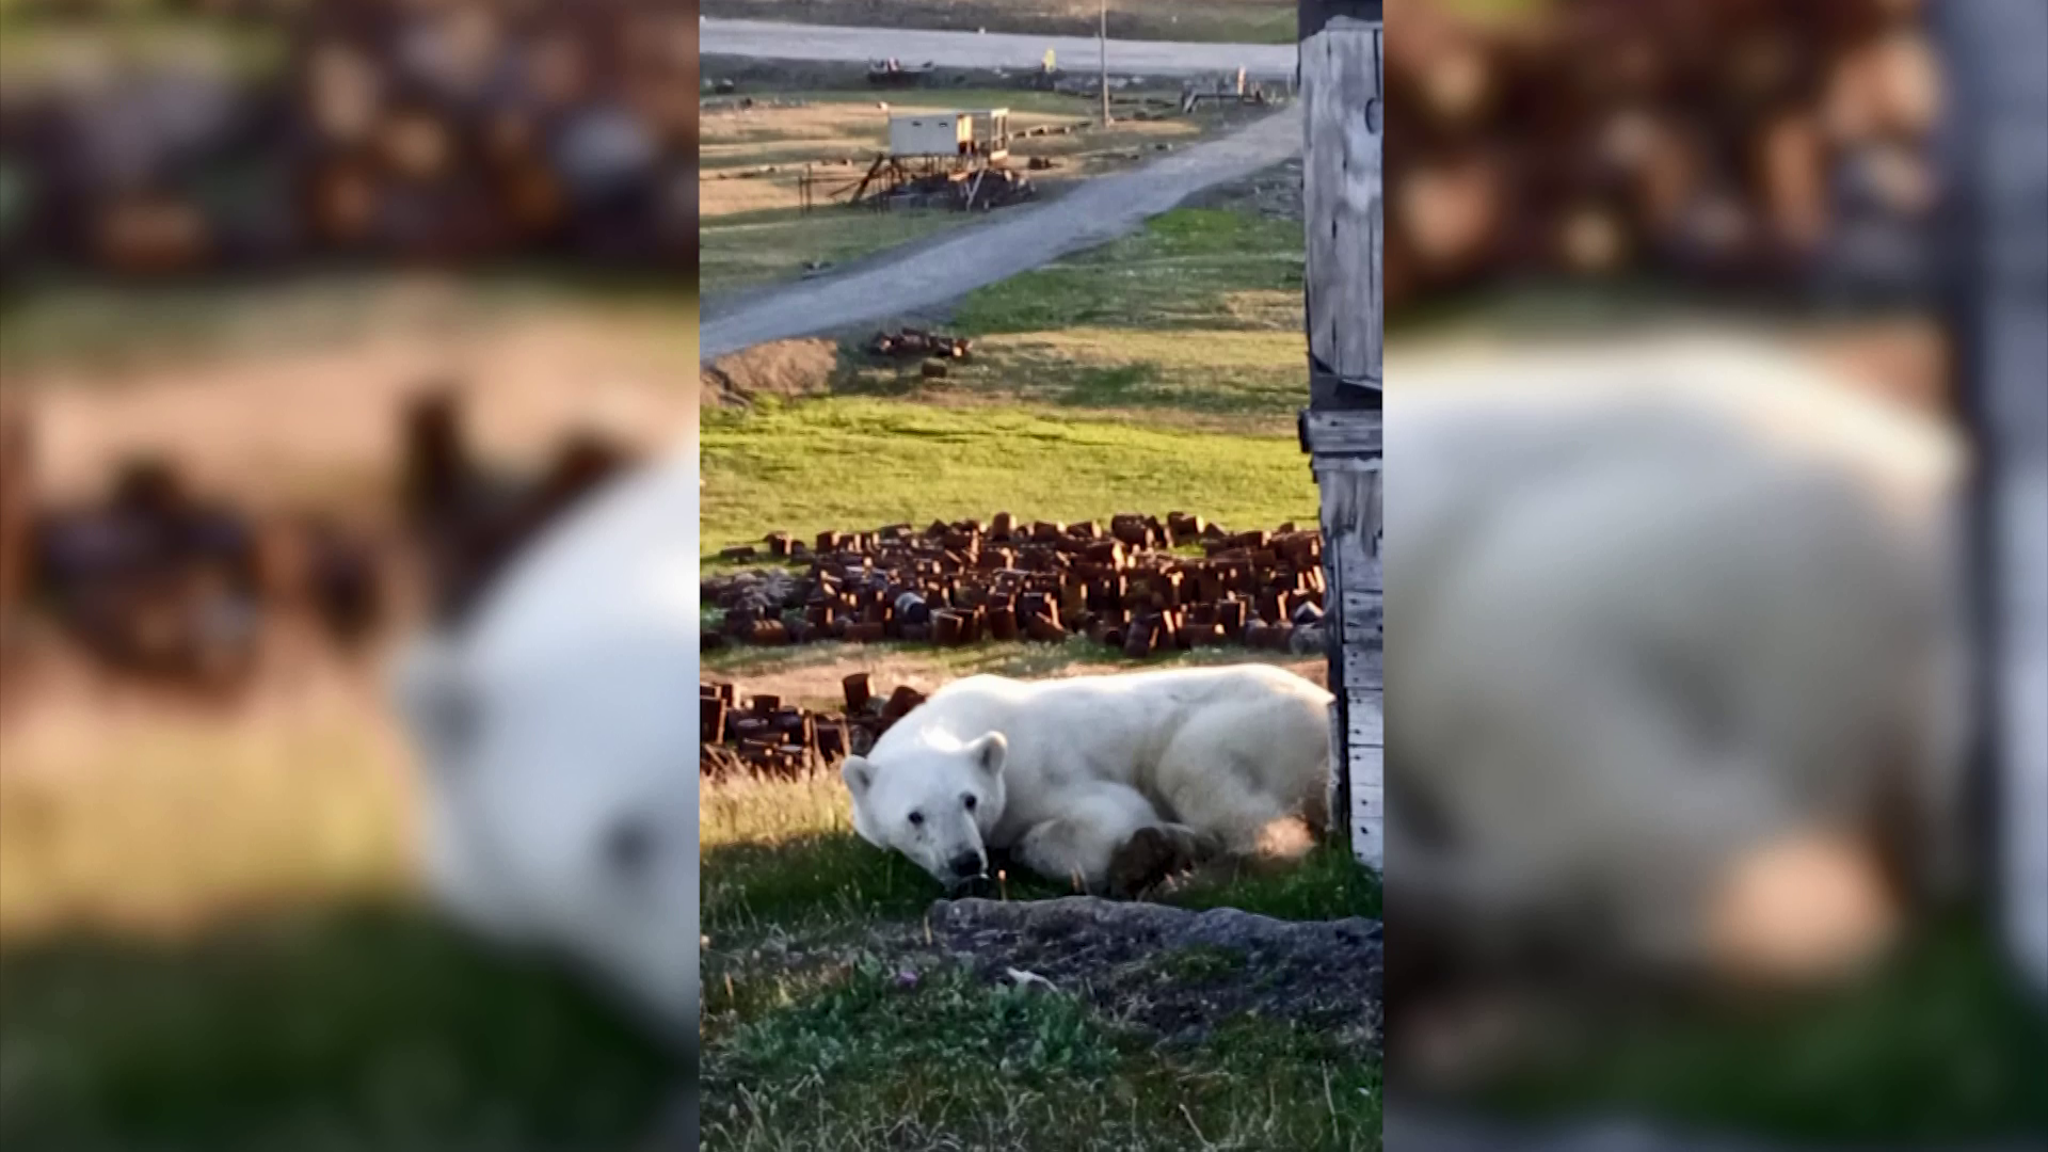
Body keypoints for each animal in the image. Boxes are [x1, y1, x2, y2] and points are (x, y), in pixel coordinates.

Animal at [840, 663, 1335, 895]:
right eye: (914, 816)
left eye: (970, 799)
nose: (965, 861)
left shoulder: (1042, 770)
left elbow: (1107, 817)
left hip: (1252, 724)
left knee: (1200, 773)